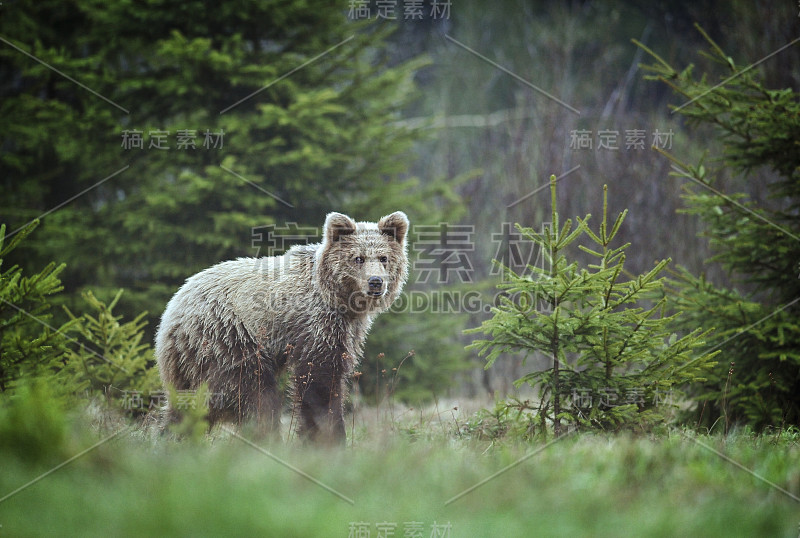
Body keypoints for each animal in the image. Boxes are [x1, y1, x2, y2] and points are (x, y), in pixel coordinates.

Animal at [154, 209, 410, 440]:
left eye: (384, 258)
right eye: (358, 258)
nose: (375, 282)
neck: (338, 300)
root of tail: (170, 313)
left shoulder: (347, 330)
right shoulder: (314, 323)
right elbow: (319, 381)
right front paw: (327, 437)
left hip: (195, 362)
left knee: (189, 407)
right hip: (229, 339)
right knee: (255, 397)